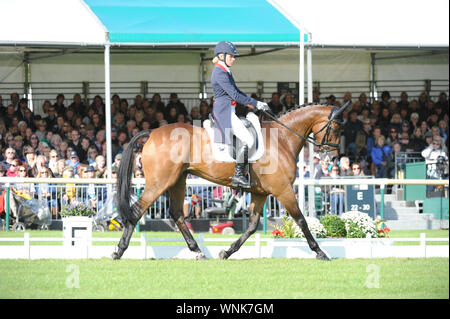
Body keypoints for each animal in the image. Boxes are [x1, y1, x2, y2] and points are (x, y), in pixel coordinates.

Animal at [111, 104, 348, 262]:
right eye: (336, 128)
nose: (332, 158)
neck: (282, 138)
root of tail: (152, 132)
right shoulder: (283, 190)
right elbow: (301, 220)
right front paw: (320, 252)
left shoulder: (261, 193)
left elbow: (252, 226)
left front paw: (227, 251)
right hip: (159, 182)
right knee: (137, 211)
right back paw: (119, 251)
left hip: (177, 180)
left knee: (177, 214)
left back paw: (198, 252)